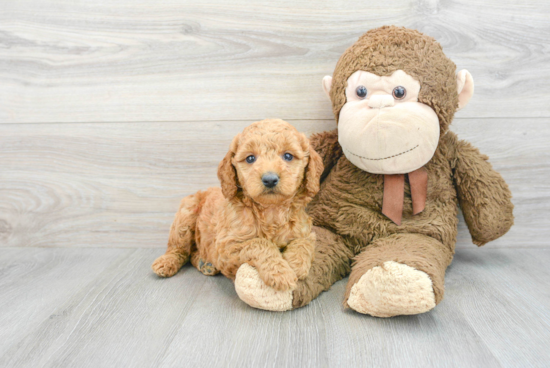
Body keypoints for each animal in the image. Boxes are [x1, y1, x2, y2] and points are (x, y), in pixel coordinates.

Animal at [152, 119, 324, 294]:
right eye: (250, 158)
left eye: (288, 156)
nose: (270, 179)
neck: (271, 210)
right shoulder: (226, 247)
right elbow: (259, 243)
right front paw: (280, 273)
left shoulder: (305, 231)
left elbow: (304, 243)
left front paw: (296, 266)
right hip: (186, 214)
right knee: (178, 248)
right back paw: (167, 262)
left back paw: (205, 263)